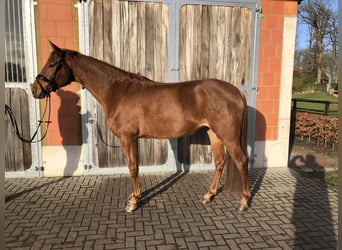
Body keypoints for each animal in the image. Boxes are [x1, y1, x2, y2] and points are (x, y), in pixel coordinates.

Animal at [32, 42, 250, 212]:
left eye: (52, 64)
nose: (35, 90)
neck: (118, 91)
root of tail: (237, 92)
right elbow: (134, 166)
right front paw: (134, 198)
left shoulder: (127, 137)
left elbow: (132, 167)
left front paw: (133, 202)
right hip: (214, 133)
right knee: (220, 162)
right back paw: (208, 195)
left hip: (228, 136)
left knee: (241, 161)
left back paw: (244, 201)